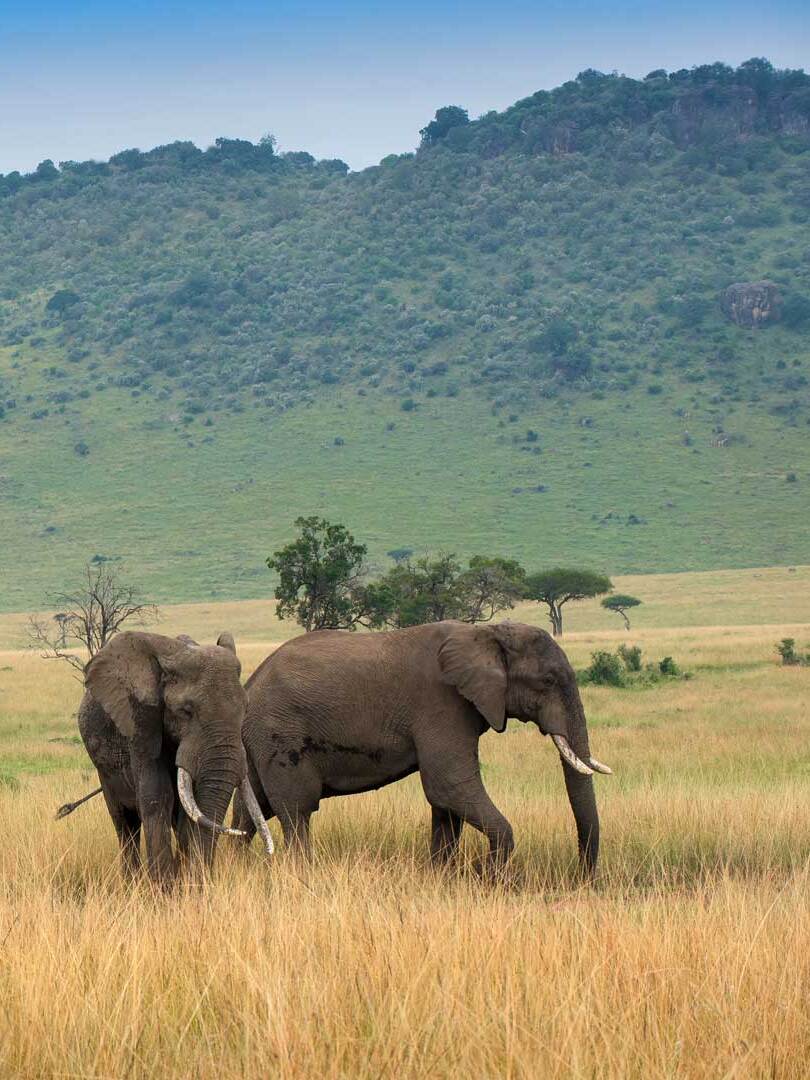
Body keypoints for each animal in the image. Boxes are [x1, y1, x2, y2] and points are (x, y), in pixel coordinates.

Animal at [75, 630, 272, 885]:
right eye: (185, 711)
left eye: (245, 709)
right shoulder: (141, 722)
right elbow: (157, 796)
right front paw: (164, 889)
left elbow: (190, 808)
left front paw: (185, 885)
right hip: (103, 768)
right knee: (125, 824)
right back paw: (131, 883)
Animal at [232, 619, 611, 876]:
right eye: (547, 681)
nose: (581, 878)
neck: (486, 633)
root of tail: (250, 684)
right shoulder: (442, 703)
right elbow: (450, 785)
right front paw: (492, 879)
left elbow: (447, 804)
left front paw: (443, 876)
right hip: (280, 733)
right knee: (296, 810)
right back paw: (302, 872)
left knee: (251, 811)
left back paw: (234, 866)